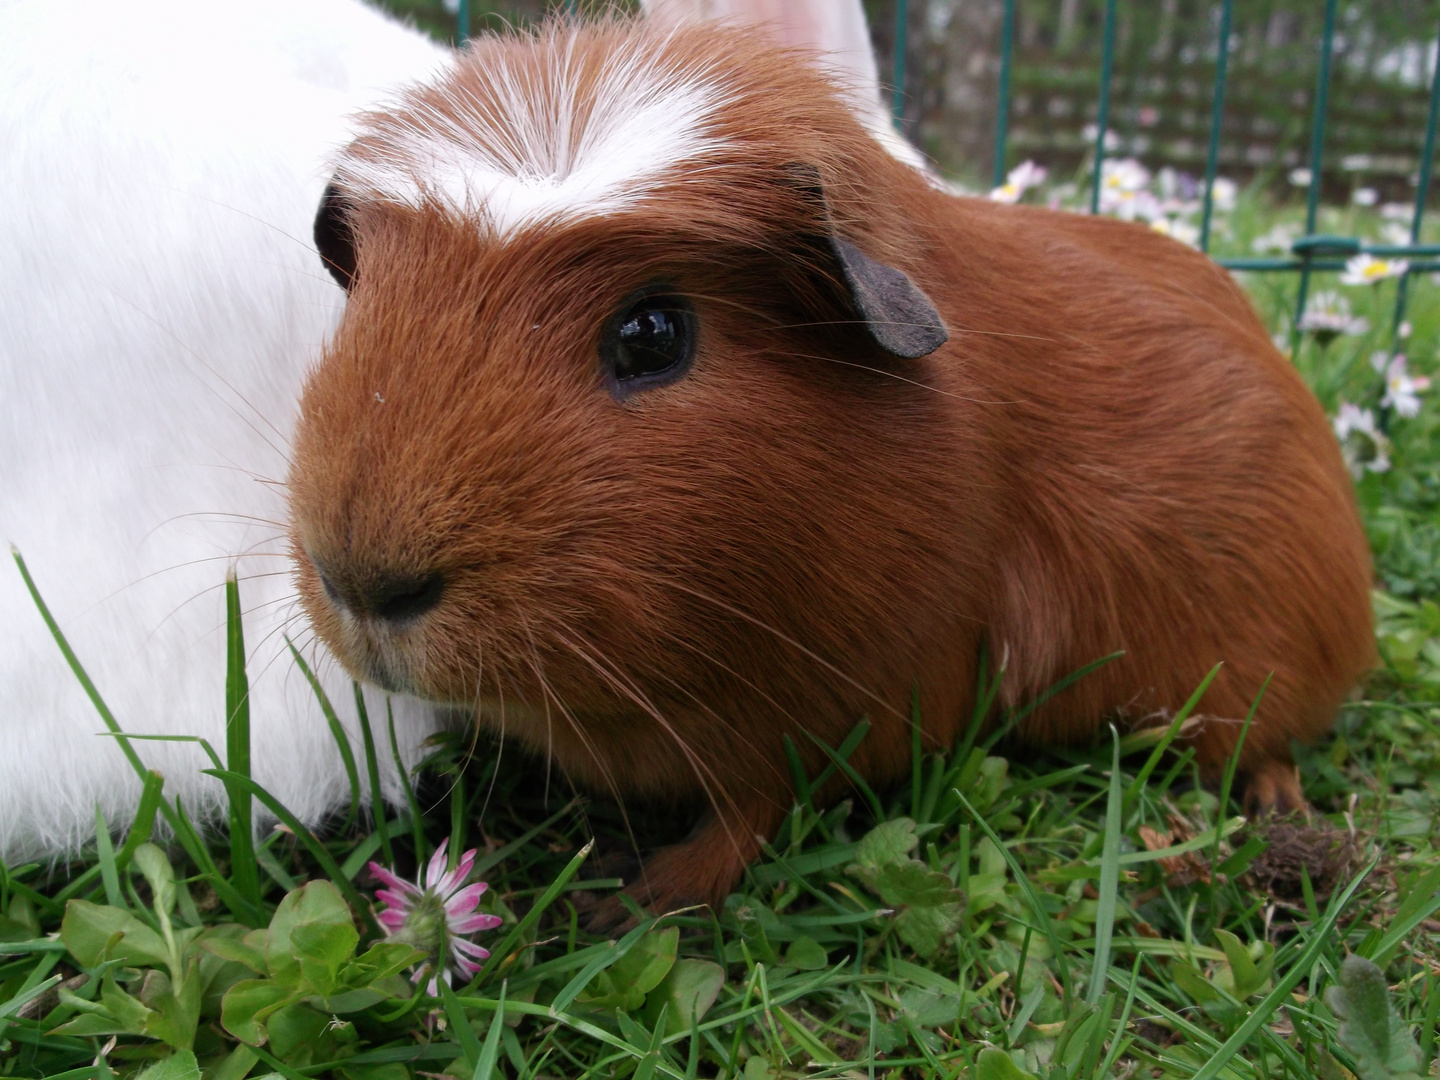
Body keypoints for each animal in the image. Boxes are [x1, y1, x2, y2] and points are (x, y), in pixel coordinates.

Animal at [288, 16, 1375, 920]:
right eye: (367, 299)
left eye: (653, 333)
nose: (366, 585)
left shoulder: (846, 706)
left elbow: (751, 814)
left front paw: (630, 903)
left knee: (1270, 742)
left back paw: (1278, 819)